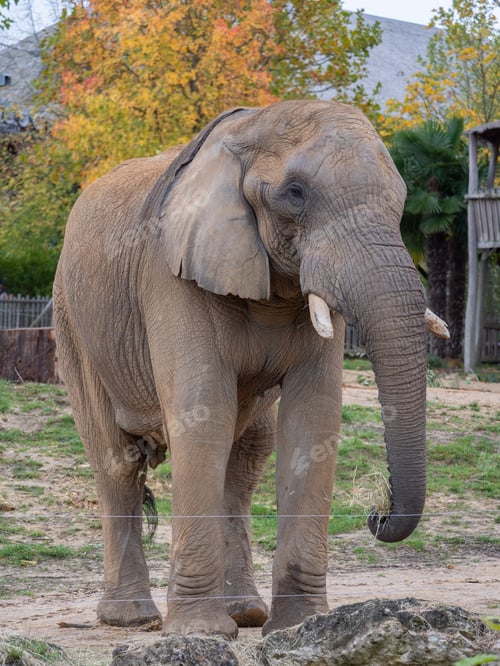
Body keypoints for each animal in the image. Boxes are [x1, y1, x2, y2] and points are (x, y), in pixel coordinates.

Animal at [53, 100, 447, 638]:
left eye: (401, 201)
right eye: (295, 194)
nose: (376, 512)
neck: (252, 128)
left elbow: (313, 419)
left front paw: (299, 628)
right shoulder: (170, 275)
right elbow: (203, 414)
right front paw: (199, 633)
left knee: (246, 456)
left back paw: (246, 614)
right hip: (73, 322)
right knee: (118, 461)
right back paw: (132, 620)